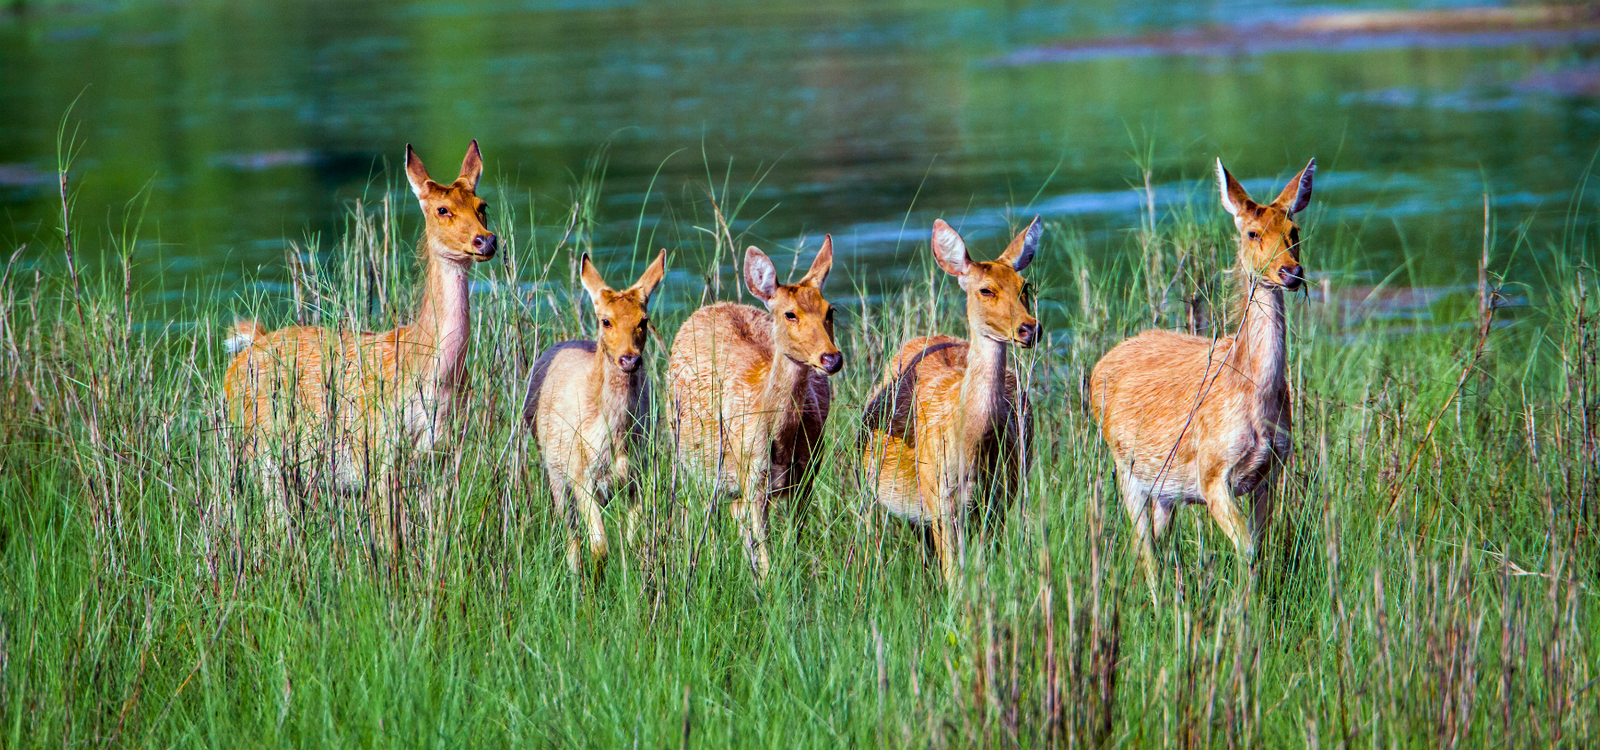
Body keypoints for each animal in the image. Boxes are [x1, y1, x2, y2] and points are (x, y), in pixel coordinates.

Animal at [223, 141, 497, 559]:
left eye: (482, 205)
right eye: (442, 209)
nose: (486, 240)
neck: (430, 371)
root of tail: (242, 353)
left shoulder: (446, 452)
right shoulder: (378, 446)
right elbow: (389, 536)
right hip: (260, 448)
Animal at [523, 250, 667, 576]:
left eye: (644, 320)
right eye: (606, 321)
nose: (629, 359)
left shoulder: (638, 475)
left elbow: (634, 541)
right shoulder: (581, 475)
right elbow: (599, 546)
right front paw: (594, 585)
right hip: (554, 467)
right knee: (570, 531)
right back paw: (575, 575)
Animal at [667, 239, 843, 581]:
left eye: (831, 310)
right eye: (790, 314)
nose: (831, 358)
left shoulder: (808, 472)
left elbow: (790, 541)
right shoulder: (751, 472)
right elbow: (764, 549)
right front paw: (767, 583)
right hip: (693, 458)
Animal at [860, 217, 1042, 584]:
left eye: (1024, 286)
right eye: (986, 289)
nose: (1030, 329)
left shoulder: (1000, 497)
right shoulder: (938, 499)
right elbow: (953, 573)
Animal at [1088, 157, 1315, 599]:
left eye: (1294, 231)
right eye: (1252, 232)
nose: (1291, 272)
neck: (1253, 396)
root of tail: (1098, 365)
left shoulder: (1271, 471)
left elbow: (1258, 545)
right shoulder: (1212, 472)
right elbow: (1247, 548)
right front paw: (1245, 608)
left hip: (1164, 490)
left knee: (1156, 543)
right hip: (1126, 469)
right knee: (1144, 549)